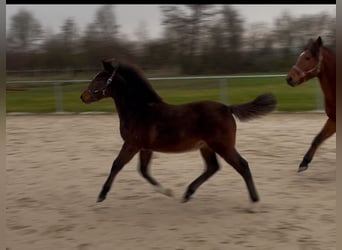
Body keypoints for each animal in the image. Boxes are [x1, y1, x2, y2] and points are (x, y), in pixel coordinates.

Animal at [79, 59, 276, 204]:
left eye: (100, 79)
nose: (83, 96)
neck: (140, 110)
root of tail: (227, 108)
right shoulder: (145, 148)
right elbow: (144, 170)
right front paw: (168, 191)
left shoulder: (131, 144)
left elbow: (117, 165)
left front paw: (101, 195)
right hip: (206, 147)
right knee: (212, 167)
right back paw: (187, 193)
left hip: (223, 146)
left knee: (242, 165)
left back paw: (254, 202)